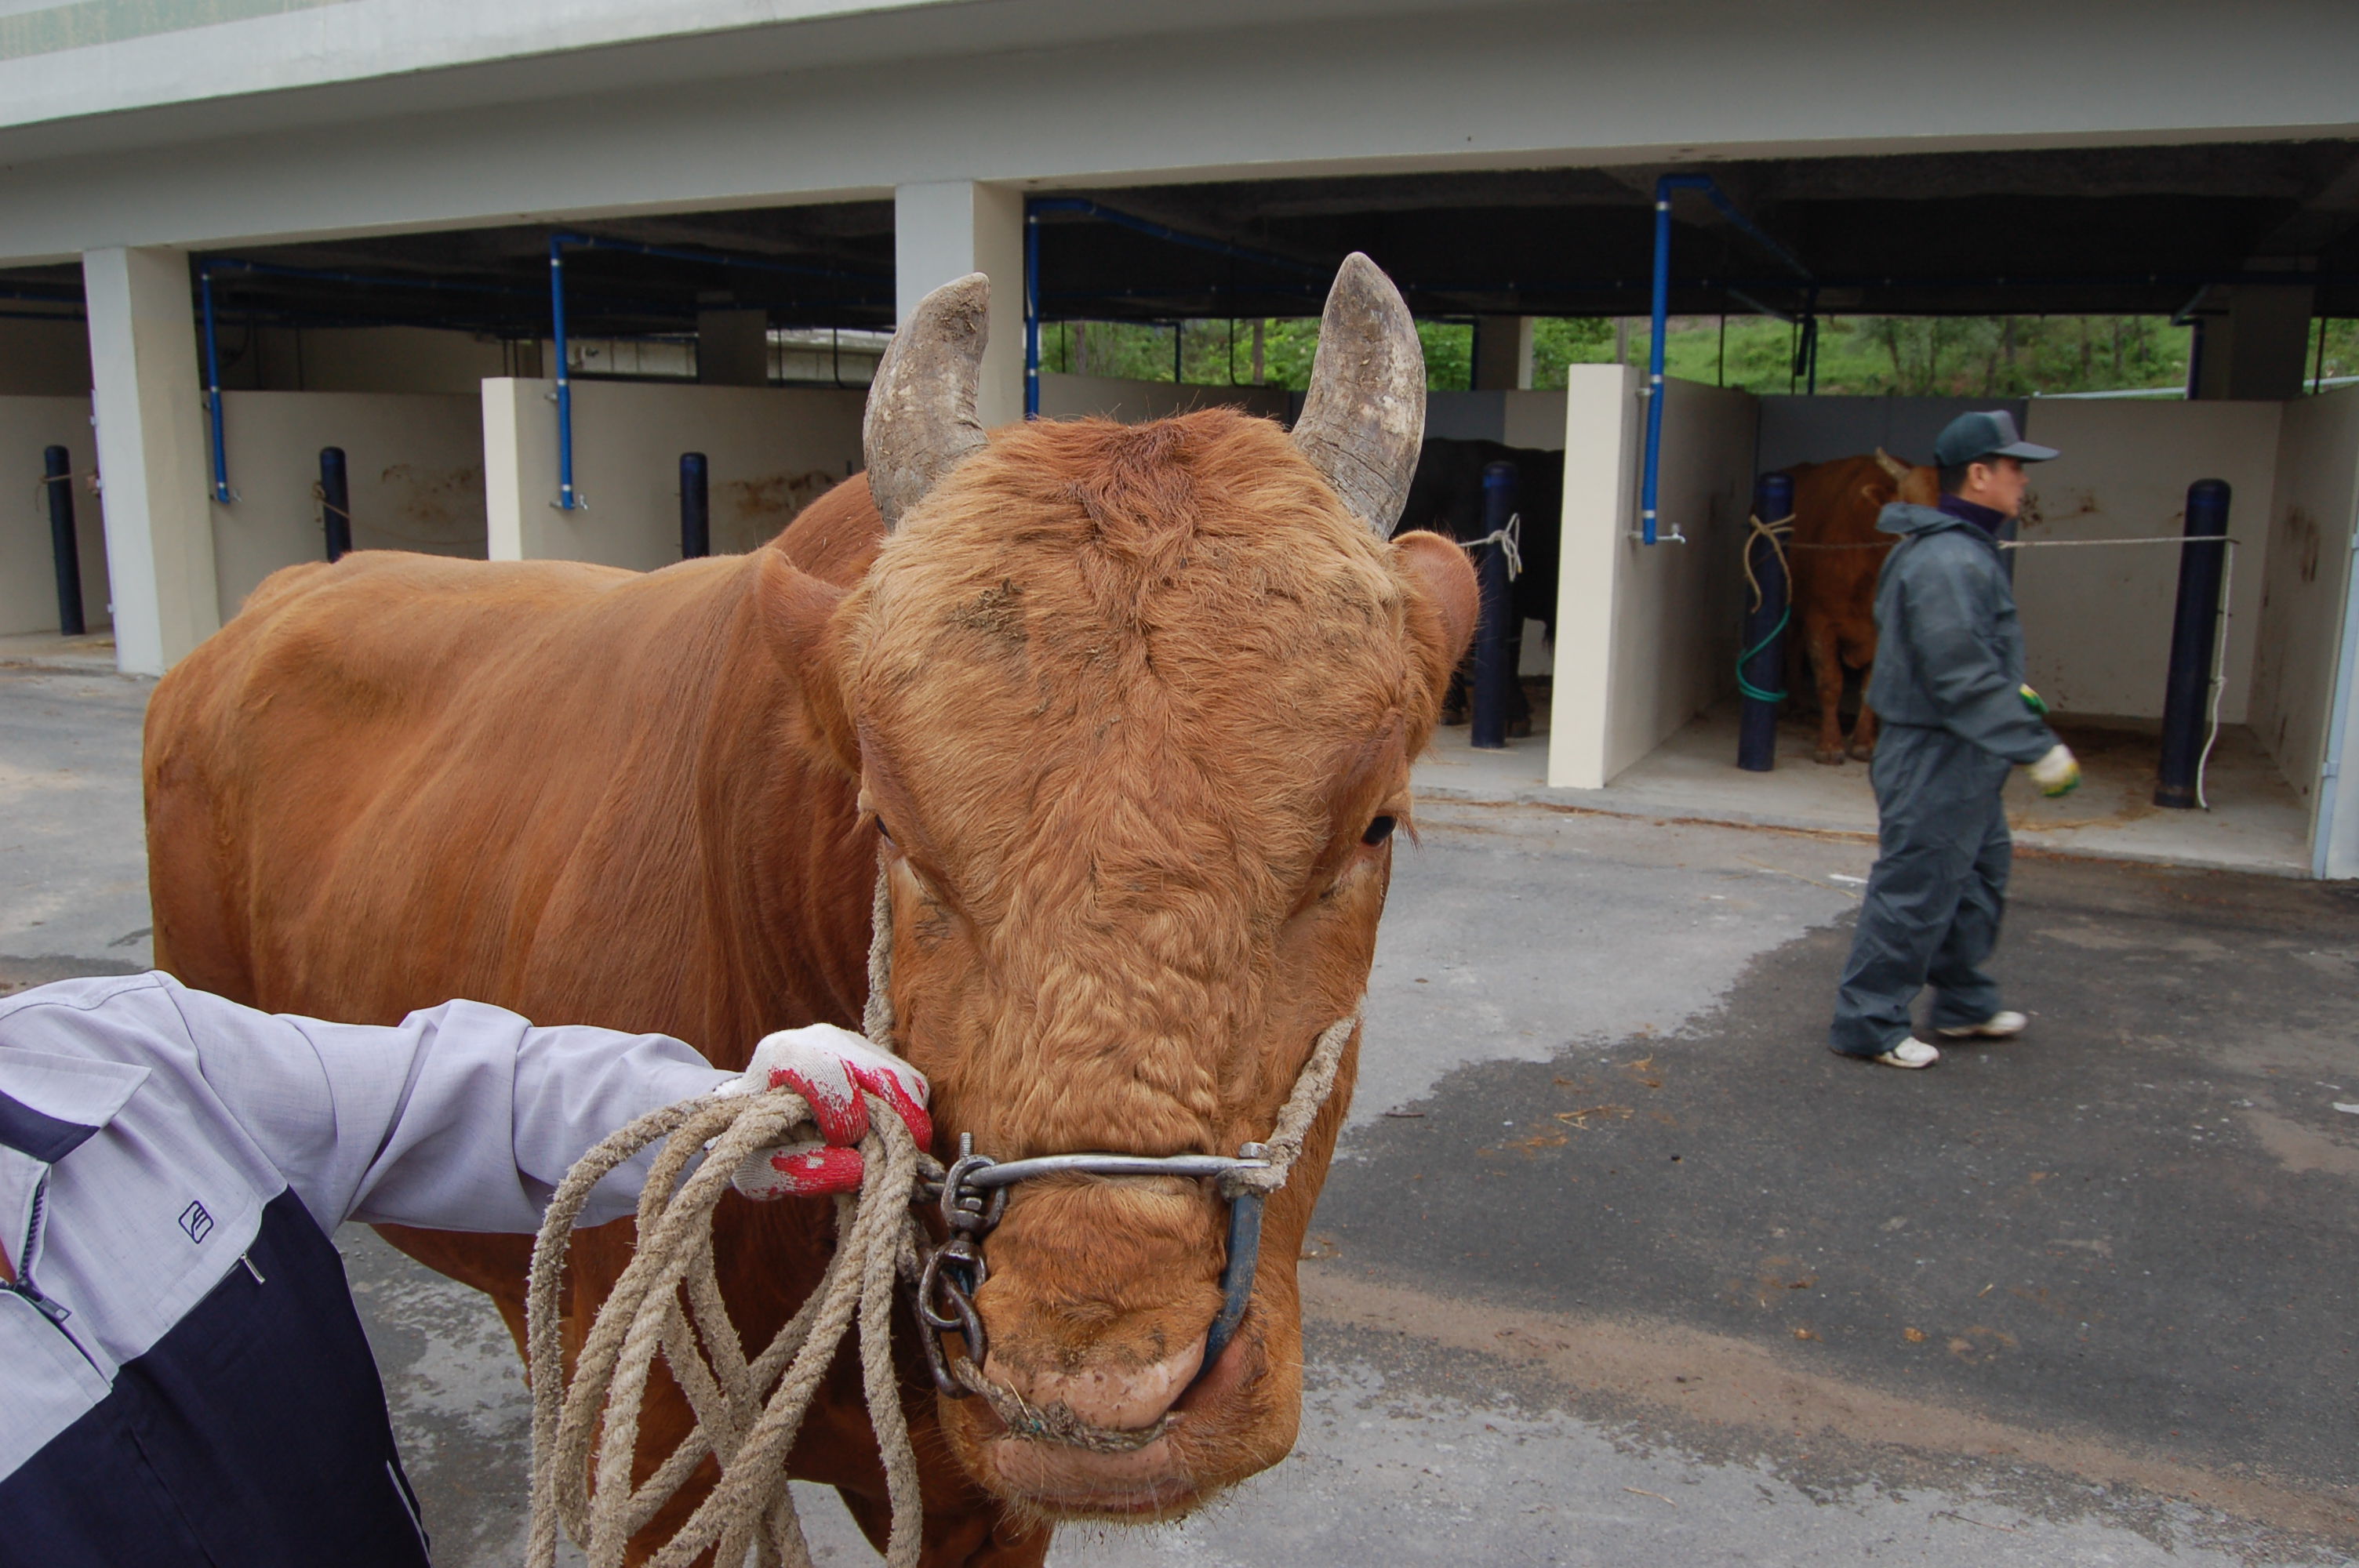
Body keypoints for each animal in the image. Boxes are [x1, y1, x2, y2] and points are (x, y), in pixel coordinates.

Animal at [1783, 445, 1934, 764]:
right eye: (1909, 507)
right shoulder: (1821, 622)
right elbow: (1830, 682)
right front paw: (1829, 746)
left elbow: (1869, 688)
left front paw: (1864, 743)